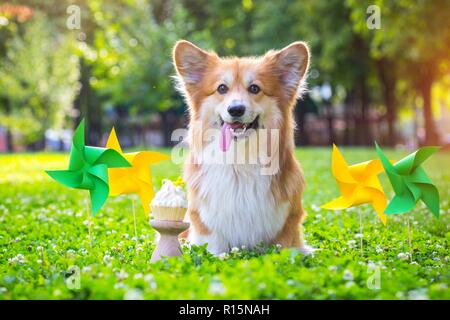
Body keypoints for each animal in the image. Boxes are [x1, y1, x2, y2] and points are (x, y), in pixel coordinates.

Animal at [172, 40, 310, 255]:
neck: (240, 159)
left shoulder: (287, 226)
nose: (236, 109)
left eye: (254, 88)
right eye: (222, 88)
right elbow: (213, 247)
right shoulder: (206, 227)